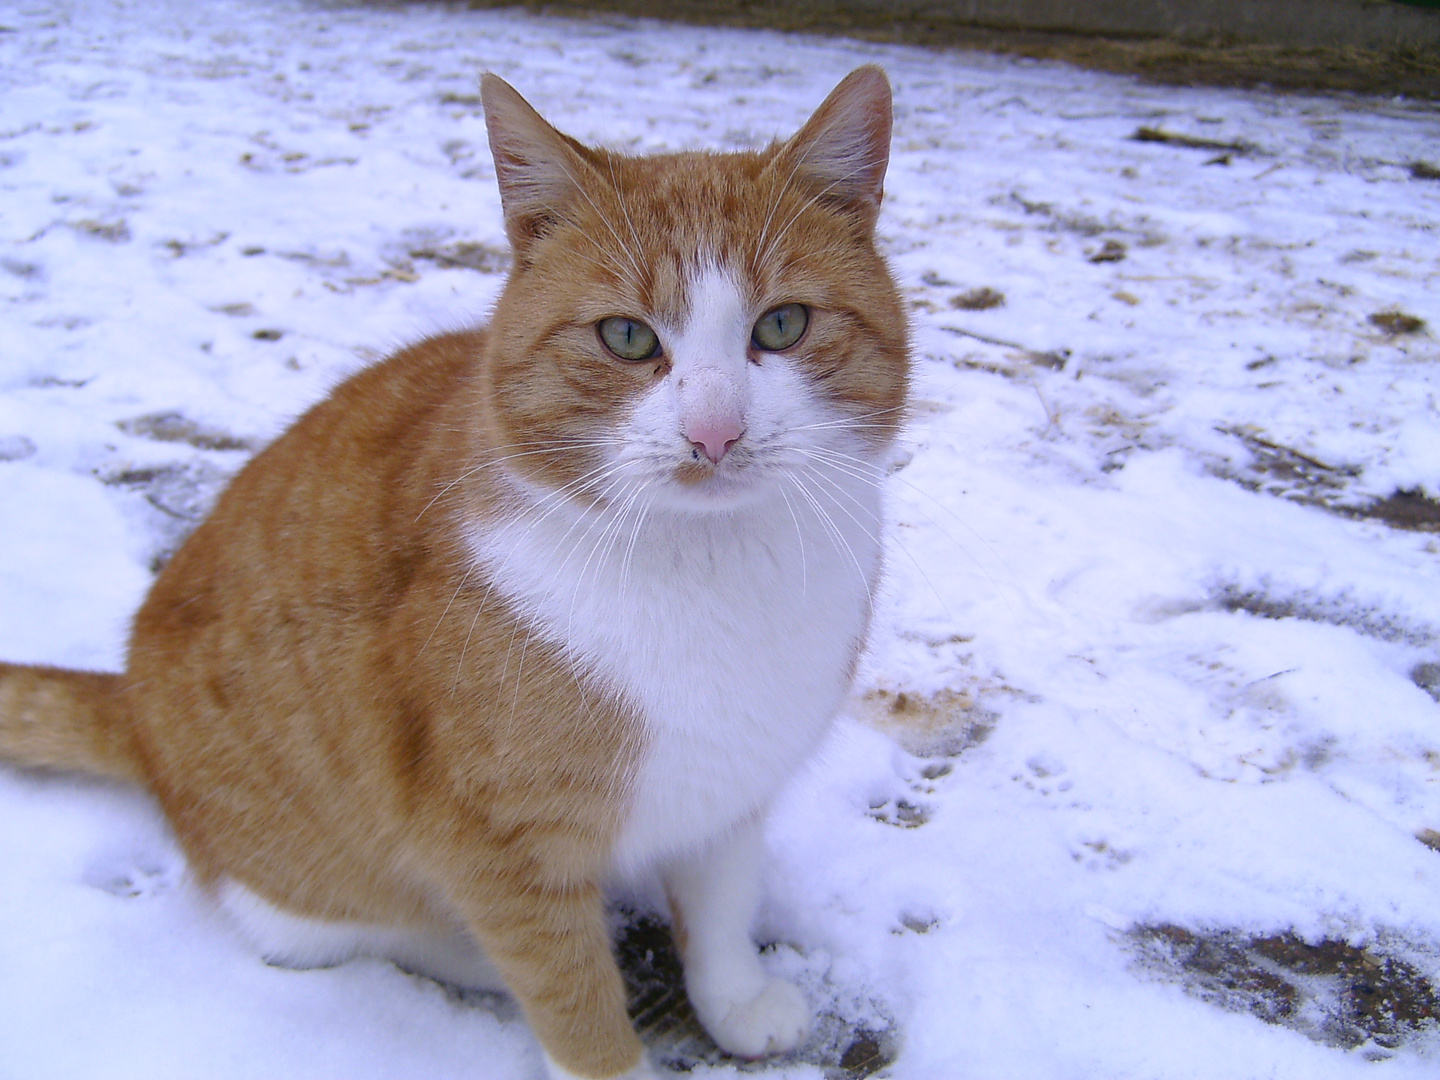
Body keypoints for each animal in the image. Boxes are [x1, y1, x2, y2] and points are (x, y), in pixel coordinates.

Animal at [0, 63, 910, 1077]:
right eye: (628, 338)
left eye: (782, 325)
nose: (715, 434)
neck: (713, 575)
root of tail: (130, 699)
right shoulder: (497, 846)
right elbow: (574, 1004)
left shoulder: (734, 783)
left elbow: (719, 908)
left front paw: (737, 997)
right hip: (312, 890)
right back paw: (467, 952)